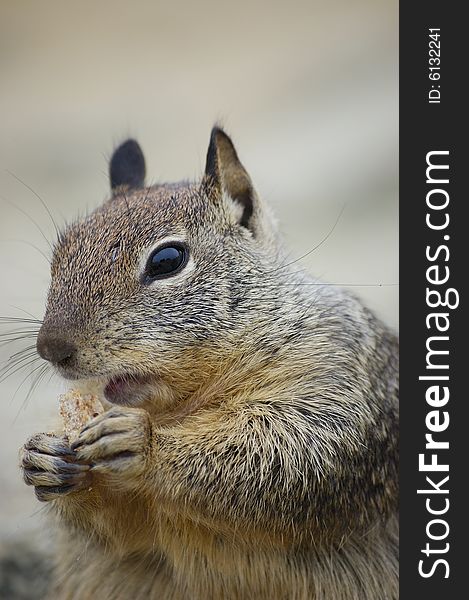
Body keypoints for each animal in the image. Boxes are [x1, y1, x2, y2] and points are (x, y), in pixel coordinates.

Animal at [20, 127, 396, 600]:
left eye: (167, 260)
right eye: (60, 252)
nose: (51, 349)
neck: (180, 404)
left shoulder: (337, 380)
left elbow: (287, 454)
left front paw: (142, 443)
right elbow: (123, 531)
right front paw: (43, 457)